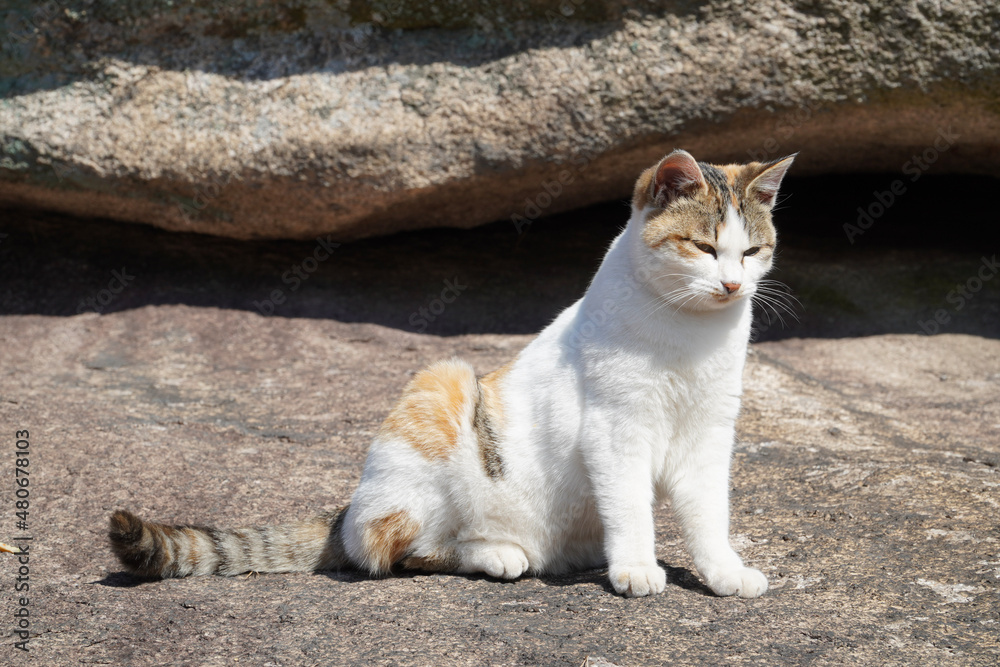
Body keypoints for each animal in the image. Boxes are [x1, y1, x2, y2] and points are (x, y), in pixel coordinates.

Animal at [109, 151, 792, 600]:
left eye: (752, 252)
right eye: (703, 248)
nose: (733, 286)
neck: (689, 335)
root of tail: (348, 509)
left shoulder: (708, 436)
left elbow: (708, 514)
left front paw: (723, 571)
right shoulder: (616, 430)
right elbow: (629, 506)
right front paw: (637, 569)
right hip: (443, 383)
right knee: (392, 551)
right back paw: (496, 554)